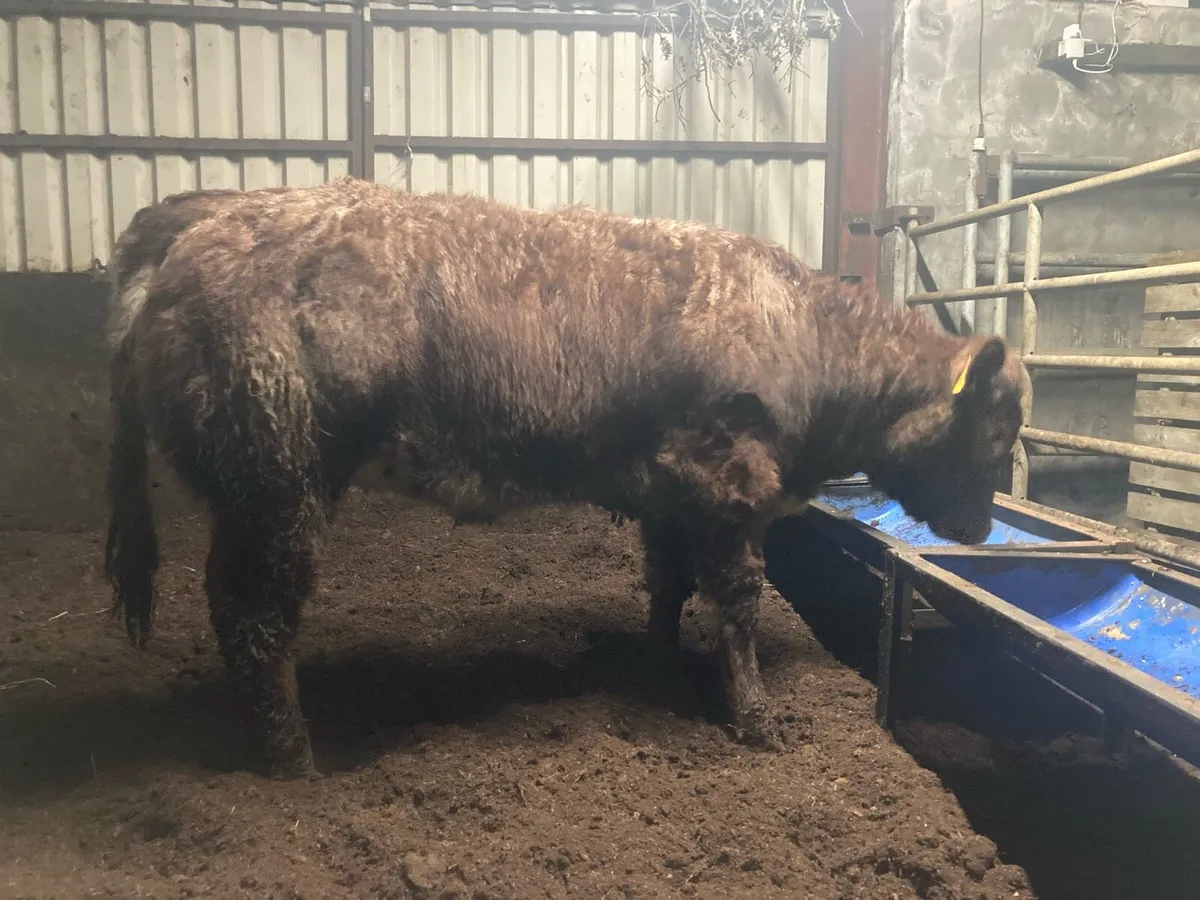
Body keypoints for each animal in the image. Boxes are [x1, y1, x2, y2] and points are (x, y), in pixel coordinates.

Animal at [103, 179, 1025, 778]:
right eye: (996, 431)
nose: (982, 531)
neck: (801, 331)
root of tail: (208, 211)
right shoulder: (728, 482)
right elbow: (736, 602)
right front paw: (757, 722)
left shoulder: (672, 494)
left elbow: (667, 584)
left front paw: (659, 664)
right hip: (279, 483)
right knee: (255, 613)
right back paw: (294, 759)